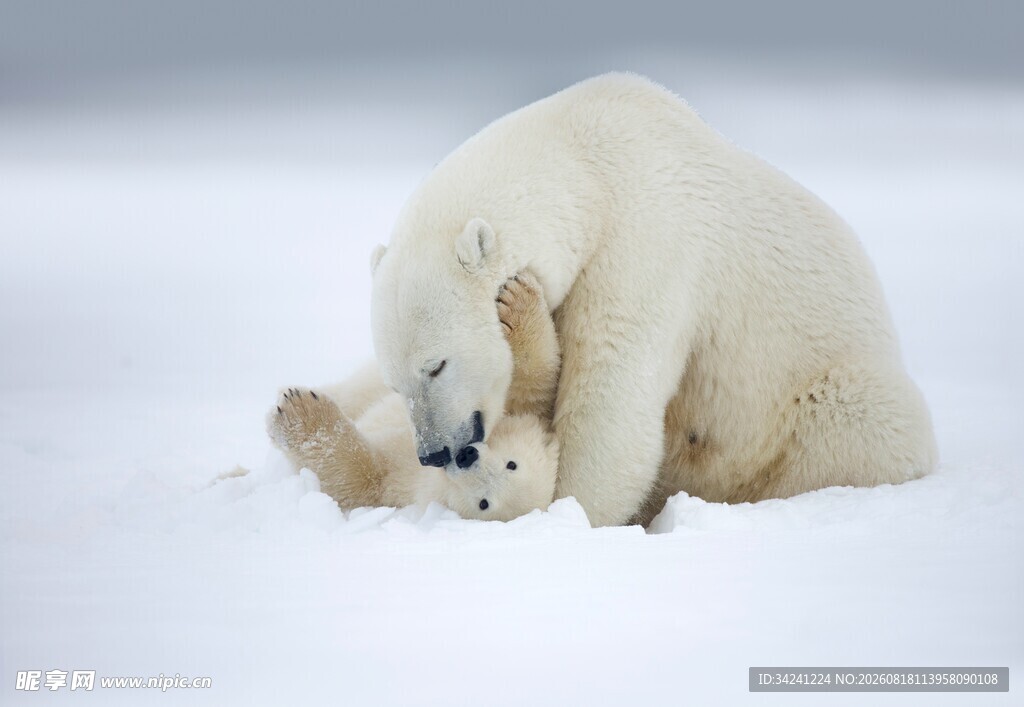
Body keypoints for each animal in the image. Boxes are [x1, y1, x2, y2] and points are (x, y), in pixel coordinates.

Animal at [268, 274, 561, 522]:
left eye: (484, 503)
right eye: (512, 464)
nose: (466, 456)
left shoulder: (403, 484)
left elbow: (359, 478)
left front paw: (300, 413)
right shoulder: (512, 407)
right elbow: (532, 383)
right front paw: (516, 299)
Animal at [368, 72, 938, 527]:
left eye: (436, 365)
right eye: (396, 382)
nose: (435, 452)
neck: (587, 165)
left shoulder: (645, 242)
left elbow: (612, 395)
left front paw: (568, 511)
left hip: (827, 395)